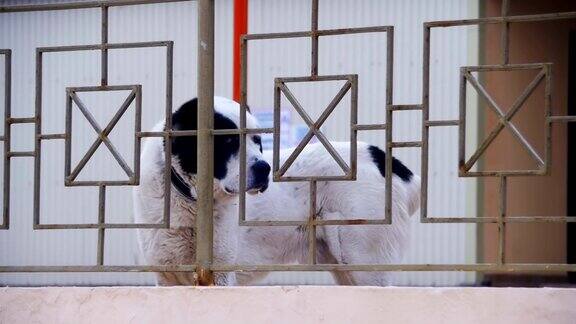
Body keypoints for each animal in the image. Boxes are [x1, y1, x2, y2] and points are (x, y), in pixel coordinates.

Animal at [136, 97, 424, 286]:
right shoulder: (166, 277)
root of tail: (386, 160)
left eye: (257, 140)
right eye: (227, 140)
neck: (189, 198)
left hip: (366, 263)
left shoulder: (221, 274)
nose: (264, 168)